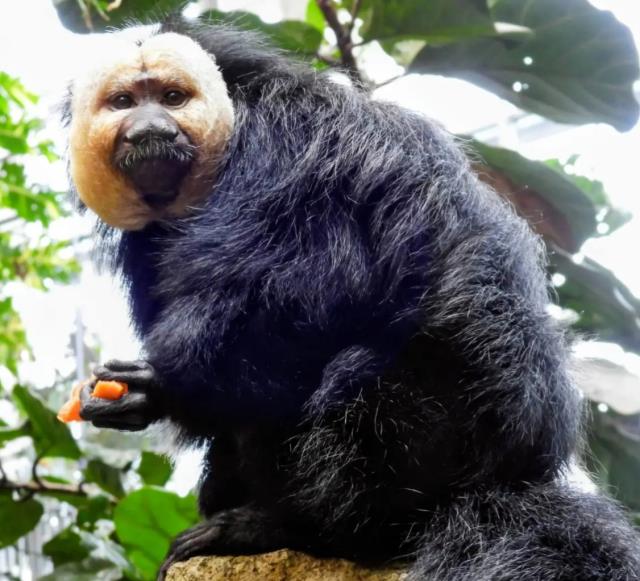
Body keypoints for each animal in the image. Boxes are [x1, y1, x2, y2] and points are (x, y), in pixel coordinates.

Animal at [62, 18, 640, 581]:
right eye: (124, 102)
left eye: (173, 97)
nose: (151, 128)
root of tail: (513, 474)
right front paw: (134, 400)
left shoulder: (285, 151)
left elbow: (306, 293)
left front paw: (160, 389)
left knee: (362, 382)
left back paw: (291, 527)